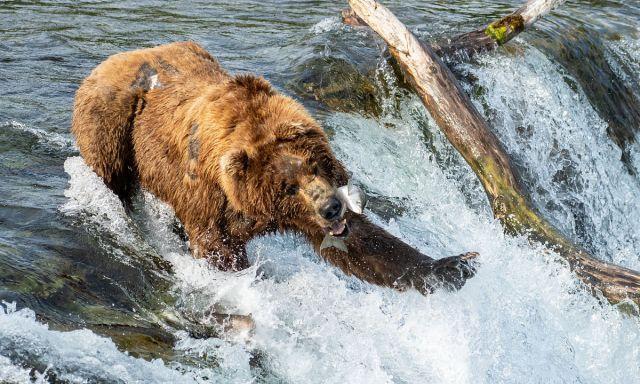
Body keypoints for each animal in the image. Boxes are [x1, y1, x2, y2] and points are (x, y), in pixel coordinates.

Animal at [72, 42, 478, 294]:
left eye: (315, 165)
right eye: (287, 184)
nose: (332, 207)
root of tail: (114, 57)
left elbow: (362, 247)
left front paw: (453, 266)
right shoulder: (209, 199)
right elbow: (216, 249)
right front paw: (247, 280)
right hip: (112, 122)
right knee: (112, 175)